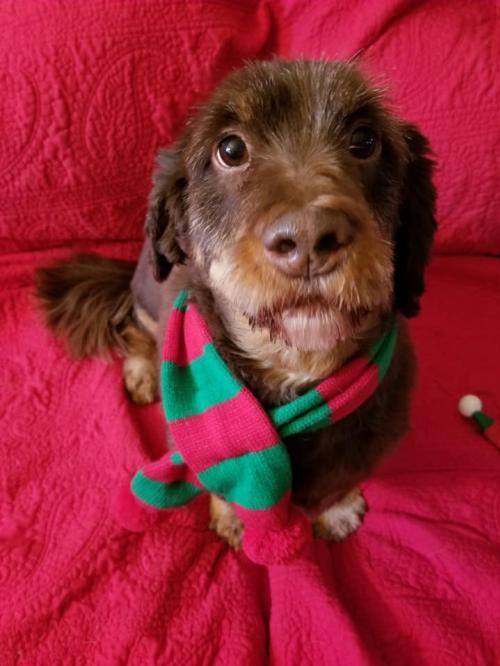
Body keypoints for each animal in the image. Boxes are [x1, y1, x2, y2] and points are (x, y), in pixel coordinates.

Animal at [37, 58, 436, 544]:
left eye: (365, 140)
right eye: (230, 148)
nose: (309, 238)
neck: (295, 370)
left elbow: (342, 478)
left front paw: (338, 508)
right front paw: (232, 516)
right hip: (148, 291)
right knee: (134, 330)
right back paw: (143, 370)